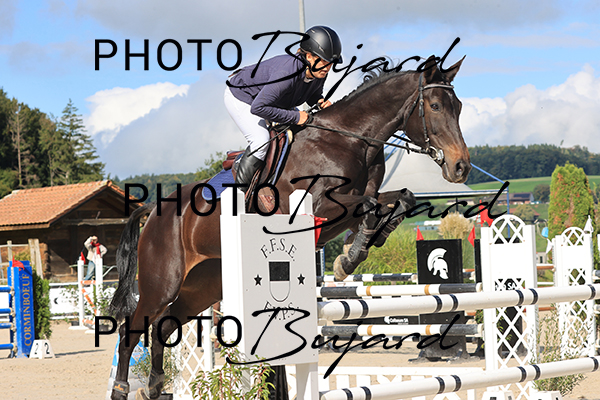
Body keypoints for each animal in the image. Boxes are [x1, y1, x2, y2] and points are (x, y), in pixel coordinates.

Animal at [108, 55, 471, 399]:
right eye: (435, 106)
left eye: (459, 106)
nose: (460, 167)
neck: (350, 141)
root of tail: (155, 208)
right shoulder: (320, 207)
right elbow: (368, 205)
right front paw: (350, 257)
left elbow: (401, 199)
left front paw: (364, 242)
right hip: (162, 283)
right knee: (133, 329)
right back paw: (121, 388)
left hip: (203, 287)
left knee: (163, 326)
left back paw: (155, 386)